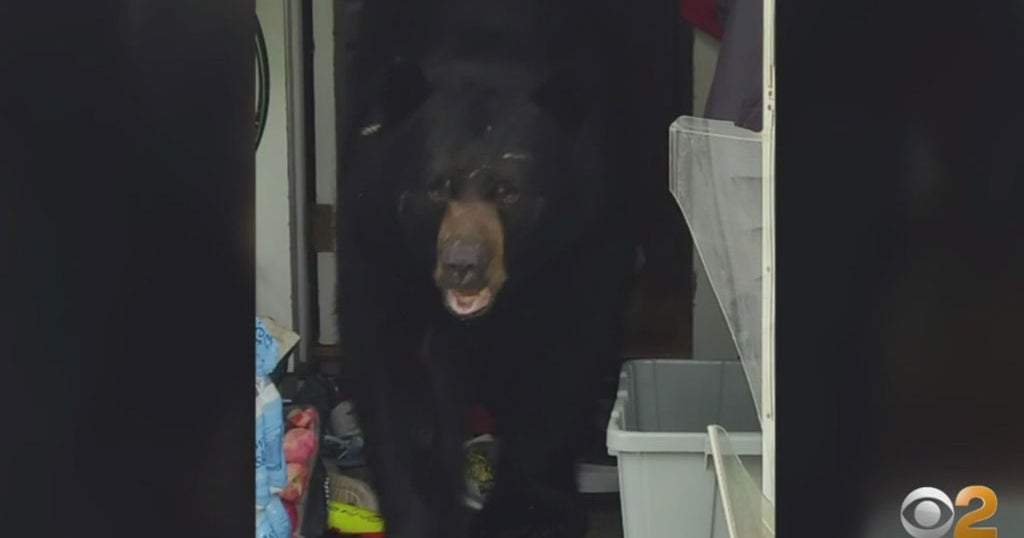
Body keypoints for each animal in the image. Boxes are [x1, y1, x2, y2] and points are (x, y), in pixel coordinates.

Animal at [335, 1, 636, 537]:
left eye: (509, 192)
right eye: (437, 187)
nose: (463, 266)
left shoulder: (585, 237)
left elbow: (562, 358)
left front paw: (529, 511)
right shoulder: (378, 238)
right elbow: (396, 370)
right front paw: (423, 512)